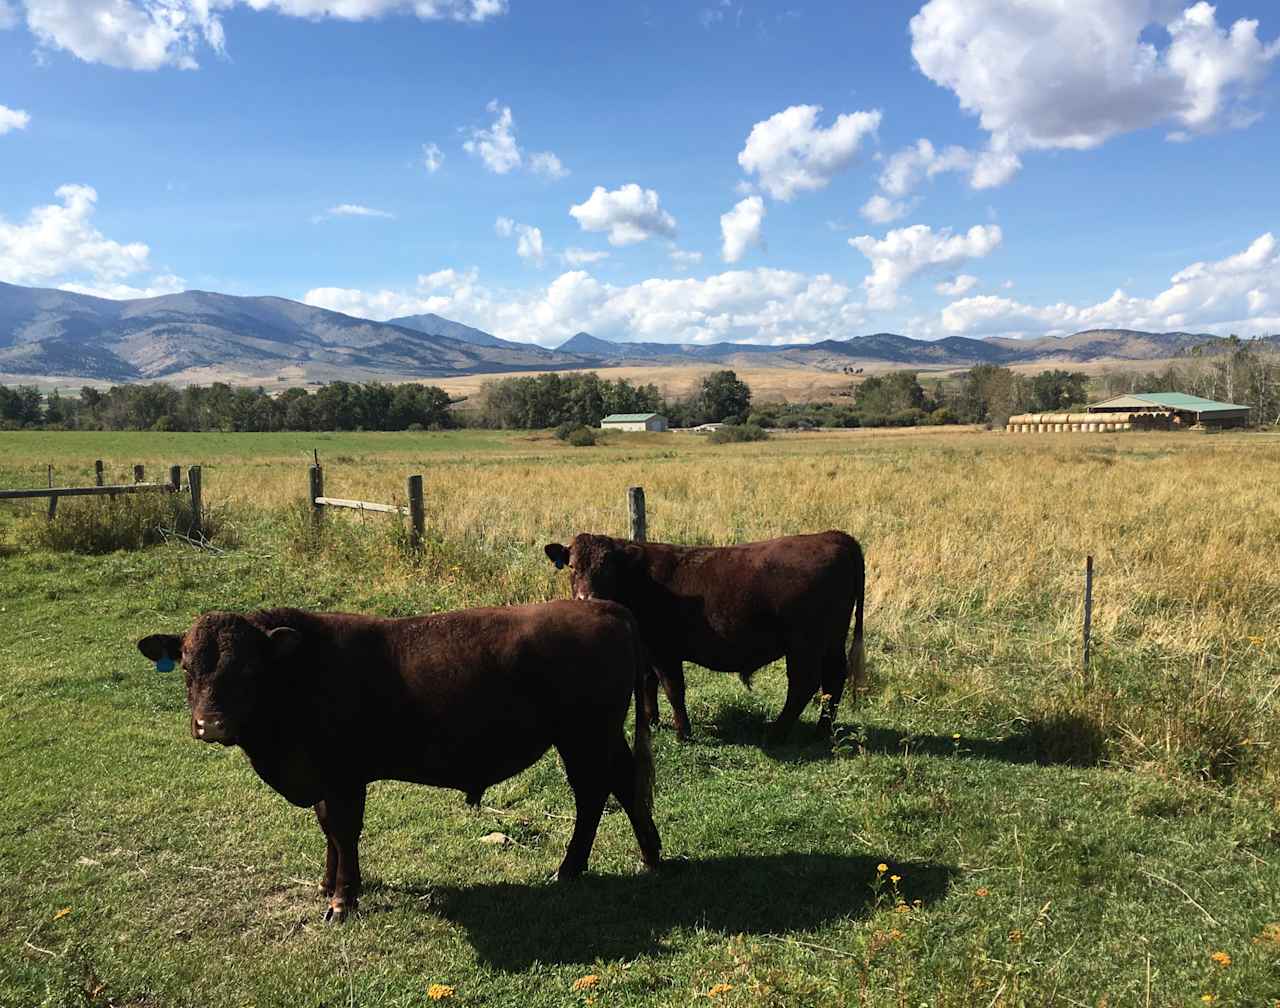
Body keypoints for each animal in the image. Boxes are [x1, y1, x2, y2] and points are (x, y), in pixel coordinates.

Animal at [137, 601, 660, 926]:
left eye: (248, 668)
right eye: (187, 667)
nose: (210, 724)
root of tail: (605, 607)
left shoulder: (344, 778)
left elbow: (343, 831)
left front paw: (342, 901)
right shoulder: (327, 780)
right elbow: (329, 831)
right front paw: (328, 884)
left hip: (584, 738)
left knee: (596, 794)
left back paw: (570, 869)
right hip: (597, 738)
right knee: (623, 785)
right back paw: (648, 856)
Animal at [545, 527, 865, 741]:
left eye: (608, 567)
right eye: (572, 567)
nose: (587, 599)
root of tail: (833, 536)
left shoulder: (664, 650)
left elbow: (673, 689)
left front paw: (682, 732)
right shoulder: (646, 650)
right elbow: (648, 684)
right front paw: (652, 721)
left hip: (805, 644)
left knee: (804, 684)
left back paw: (777, 732)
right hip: (832, 641)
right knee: (834, 679)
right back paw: (822, 730)